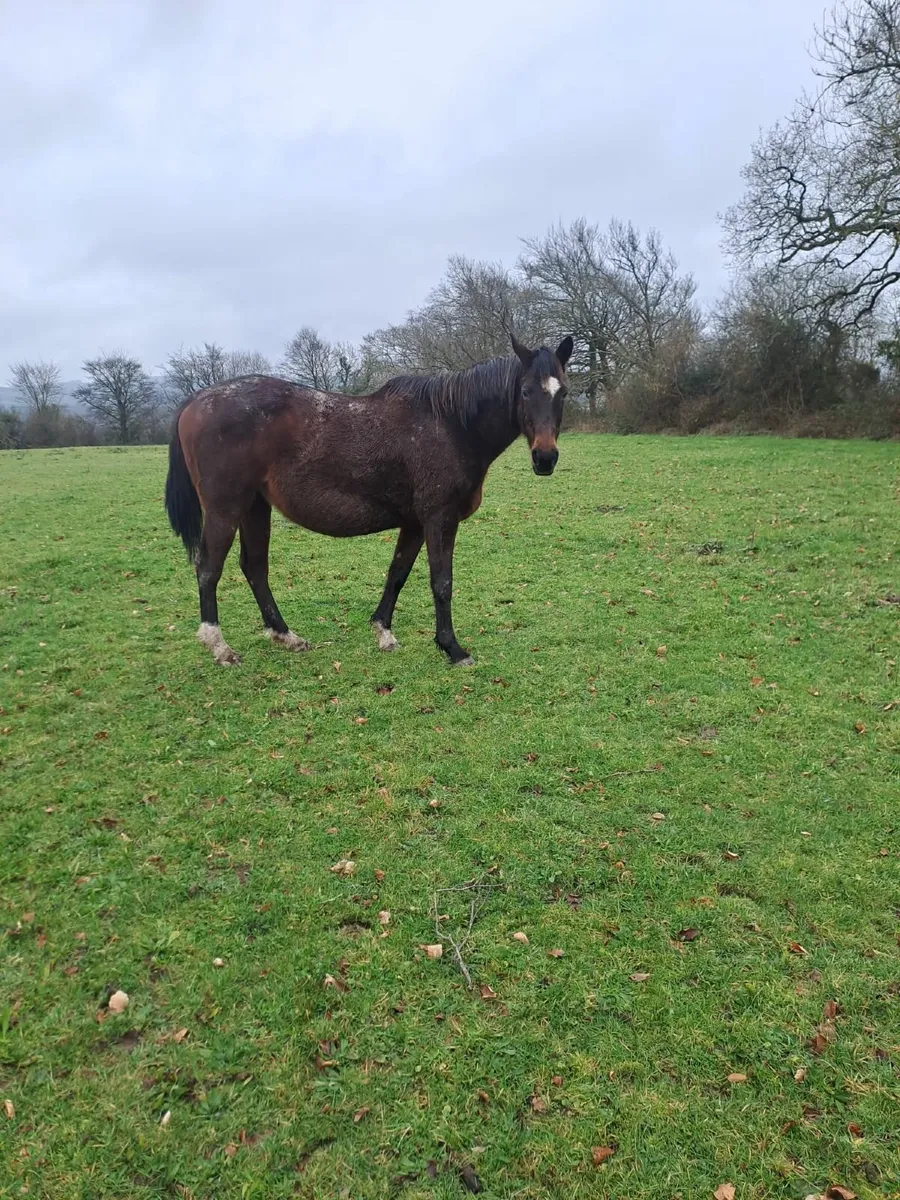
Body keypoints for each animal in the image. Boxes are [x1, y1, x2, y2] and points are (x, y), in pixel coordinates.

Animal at [164, 332, 574, 667]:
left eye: (563, 392)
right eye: (525, 391)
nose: (545, 458)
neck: (450, 424)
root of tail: (195, 400)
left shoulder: (414, 523)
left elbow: (398, 573)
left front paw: (383, 632)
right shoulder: (439, 519)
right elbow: (441, 582)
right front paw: (452, 648)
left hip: (254, 507)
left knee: (254, 568)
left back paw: (286, 636)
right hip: (225, 508)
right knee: (208, 569)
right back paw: (220, 647)